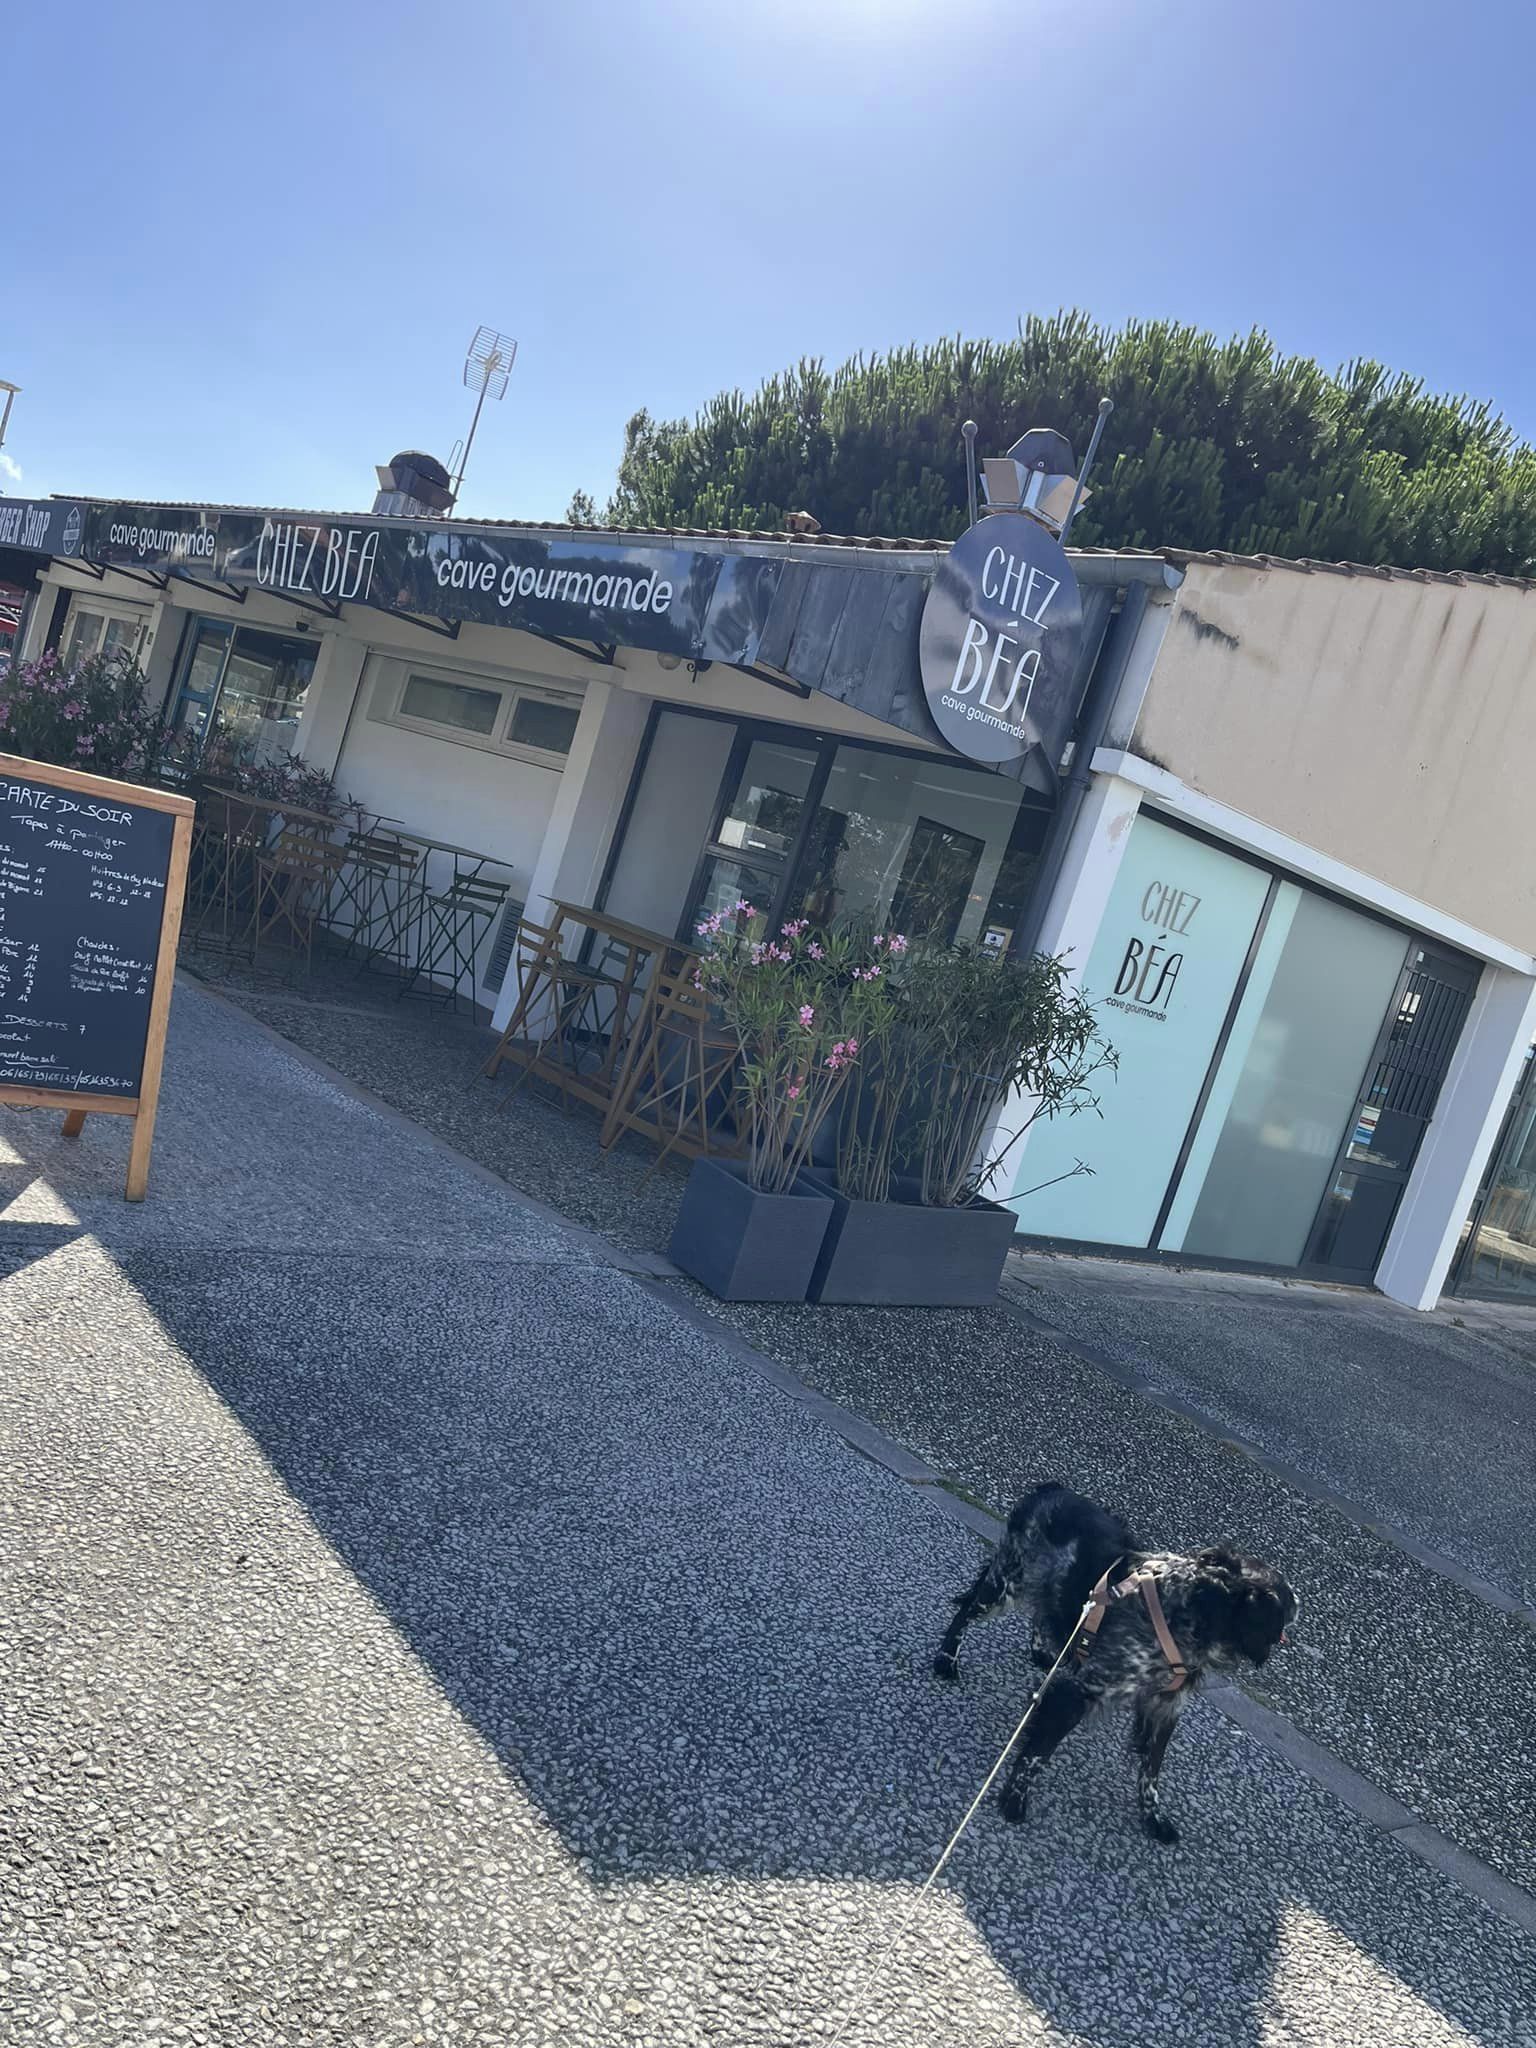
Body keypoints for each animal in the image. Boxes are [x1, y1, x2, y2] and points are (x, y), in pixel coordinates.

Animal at [937, 1482, 1302, 1851]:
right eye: (1285, 1598)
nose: (1300, 1604)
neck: (1187, 1610)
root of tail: (1050, 1488)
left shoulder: (1165, 1707)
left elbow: (1150, 1772)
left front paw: (1154, 1819)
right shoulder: (1077, 1693)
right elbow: (1038, 1752)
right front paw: (1014, 1799)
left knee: (1043, 1612)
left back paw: (1042, 1651)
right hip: (1006, 1584)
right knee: (966, 1612)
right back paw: (946, 1661)